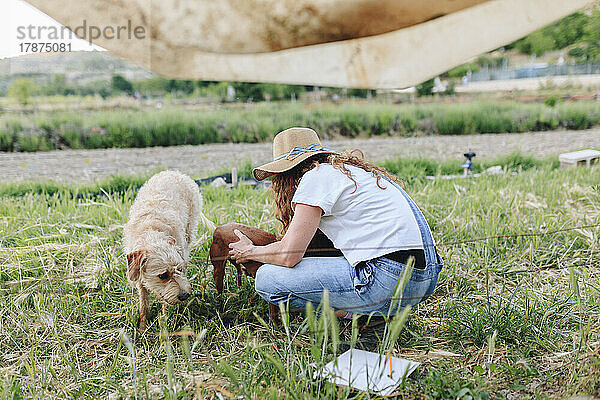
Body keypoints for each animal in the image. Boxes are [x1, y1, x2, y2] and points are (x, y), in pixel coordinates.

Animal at [122, 171, 216, 332]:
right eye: (163, 275)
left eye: (180, 269)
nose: (184, 295)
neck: (151, 230)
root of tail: (177, 173)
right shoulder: (139, 276)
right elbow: (143, 303)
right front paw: (142, 327)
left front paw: (164, 323)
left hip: (189, 231)